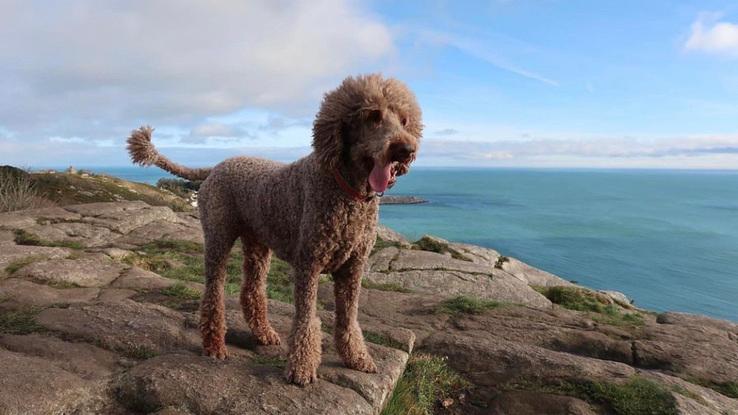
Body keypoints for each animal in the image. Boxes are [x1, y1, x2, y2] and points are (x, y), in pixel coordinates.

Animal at [126, 74, 420, 386]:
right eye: (373, 116)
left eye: (404, 120)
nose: (406, 150)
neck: (344, 189)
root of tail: (216, 166)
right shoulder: (309, 264)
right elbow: (306, 320)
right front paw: (302, 367)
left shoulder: (353, 268)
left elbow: (348, 318)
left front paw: (357, 357)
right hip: (218, 238)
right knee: (213, 295)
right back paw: (214, 345)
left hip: (257, 245)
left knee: (252, 291)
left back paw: (263, 333)